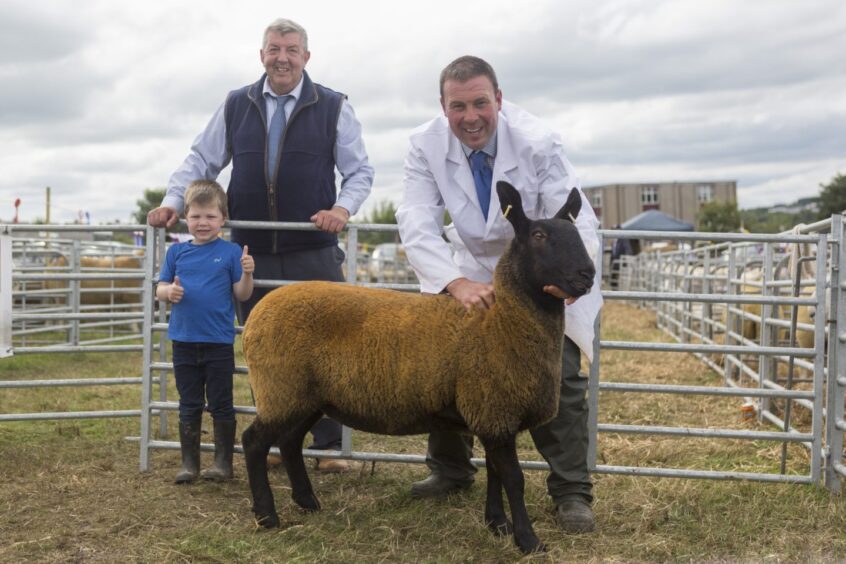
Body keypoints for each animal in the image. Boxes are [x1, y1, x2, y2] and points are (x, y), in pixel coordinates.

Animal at [238, 182, 596, 556]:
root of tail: (259, 312)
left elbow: (495, 474)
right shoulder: (496, 410)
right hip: (281, 388)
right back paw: (266, 515)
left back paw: (307, 502)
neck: (502, 324)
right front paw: (528, 541)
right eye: (539, 235)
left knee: (290, 441)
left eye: (576, 232)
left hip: (306, 396)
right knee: (254, 442)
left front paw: (497, 525)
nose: (588, 274)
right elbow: (514, 479)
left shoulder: (491, 415)